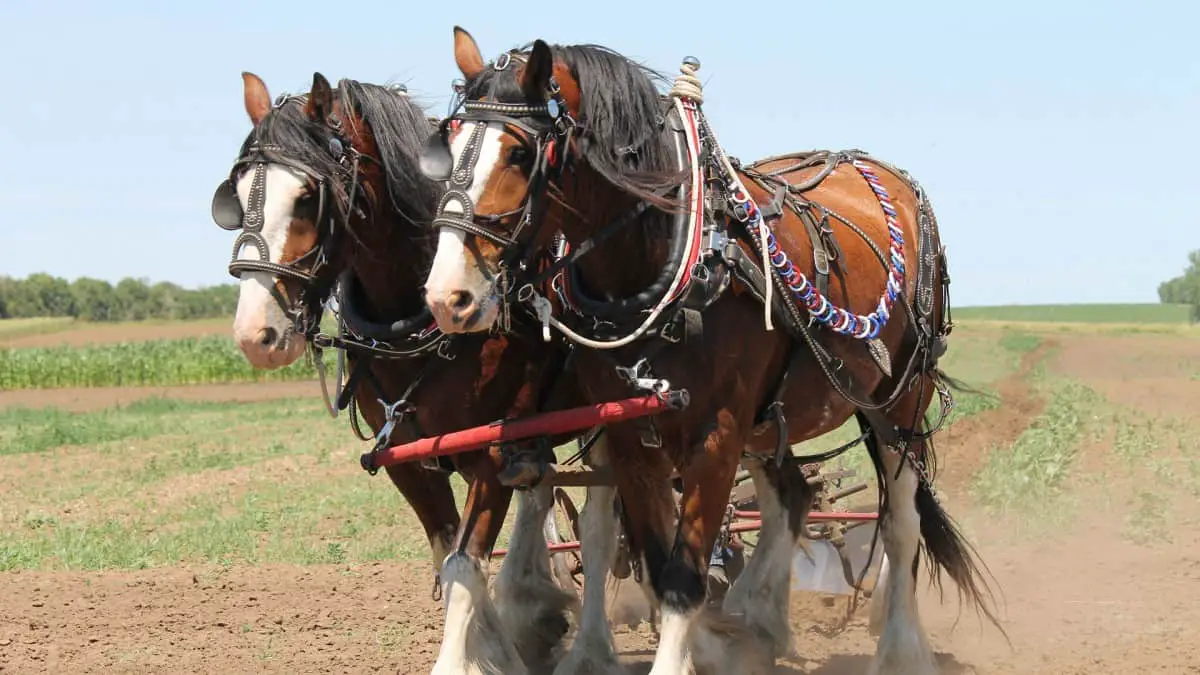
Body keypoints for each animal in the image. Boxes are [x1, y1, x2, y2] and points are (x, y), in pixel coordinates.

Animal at [213, 70, 628, 667]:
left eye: (309, 197)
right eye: (238, 192)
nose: (255, 335)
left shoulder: (490, 452)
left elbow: (463, 567)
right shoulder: (408, 461)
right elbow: (447, 558)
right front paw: (500, 647)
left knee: (597, 528)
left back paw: (591, 646)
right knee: (542, 494)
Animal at [422, 27, 1003, 672]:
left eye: (521, 153)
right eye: (450, 143)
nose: (448, 296)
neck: (671, 261)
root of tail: (884, 173)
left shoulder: (717, 434)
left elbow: (683, 578)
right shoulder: (631, 437)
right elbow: (658, 566)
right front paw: (723, 640)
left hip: (899, 400)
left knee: (900, 520)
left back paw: (898, 646)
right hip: (772, 420)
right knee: (792, 497)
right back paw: (758, 621)